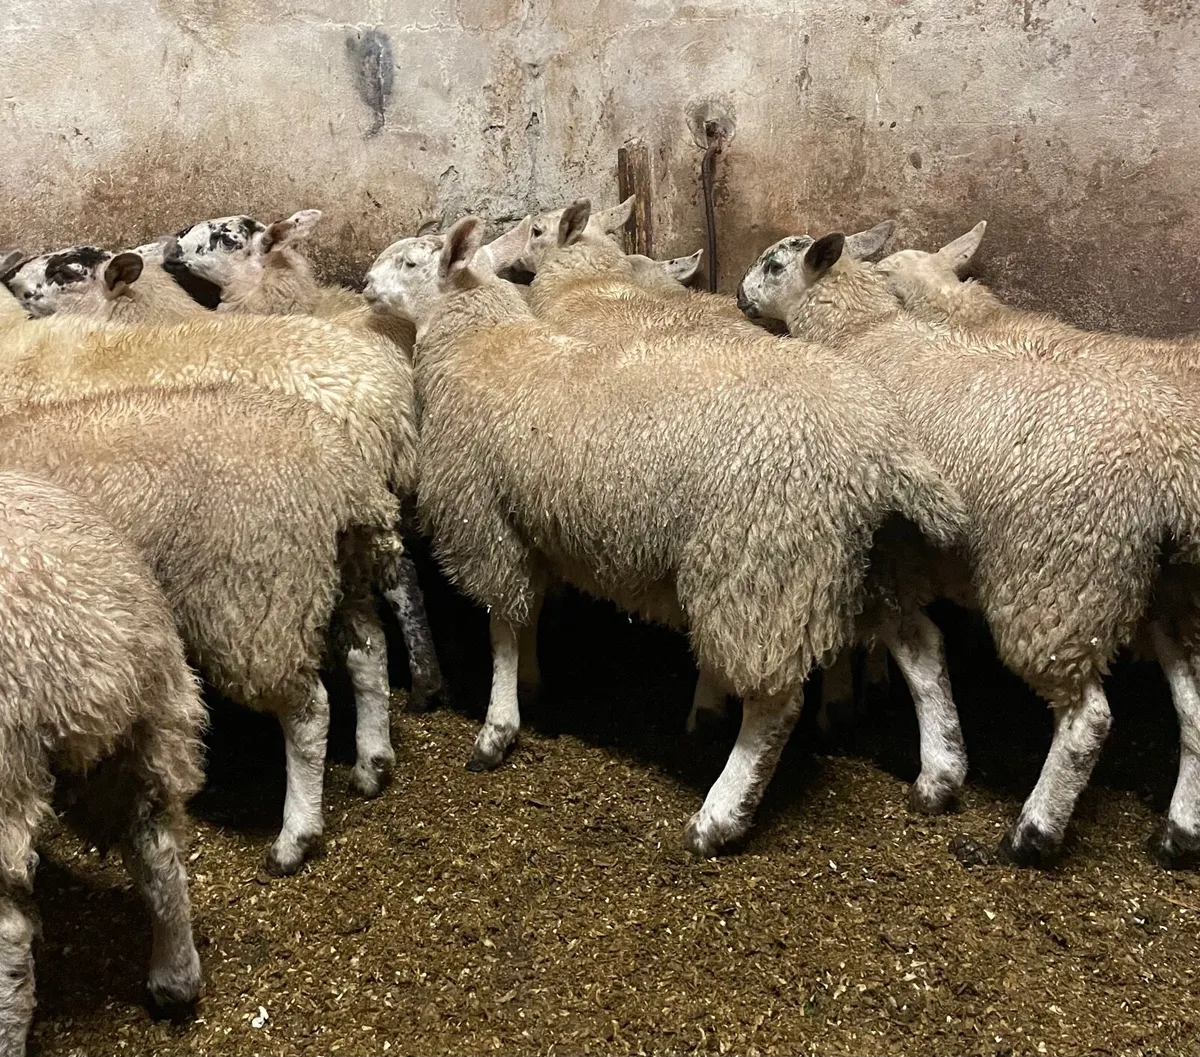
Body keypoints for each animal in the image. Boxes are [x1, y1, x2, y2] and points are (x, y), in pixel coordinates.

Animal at [0, 384, 399, 875]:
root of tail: (343, 471)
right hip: (340, 578)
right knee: (369, 655)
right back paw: (372, 763)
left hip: (253, 598)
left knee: (308, 714)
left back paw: (294, 837)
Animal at [360, 213, 967, 856]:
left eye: (410, 263)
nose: (365, 283)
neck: (481, 345)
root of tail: (879, 449)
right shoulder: (530, 522)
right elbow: (528, 616)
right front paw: (530, 680)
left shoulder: (483, 520)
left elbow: (501, 627)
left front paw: (497, 729)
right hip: (865, 559)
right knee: (921, 647)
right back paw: (939, 775)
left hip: (760, 560)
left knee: (775, 701)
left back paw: (719, 816)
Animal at [737, 228, 1200, 867]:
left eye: (775, 265)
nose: (738, 297)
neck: (865, 332)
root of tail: (1165, 475)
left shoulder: (887, 546)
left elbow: (914, 652)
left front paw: (927, 767)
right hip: (1165, 593)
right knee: (1194, 705)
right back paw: (1179, 834)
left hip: (1057, 580)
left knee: (1087, 720)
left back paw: (1033, 833)